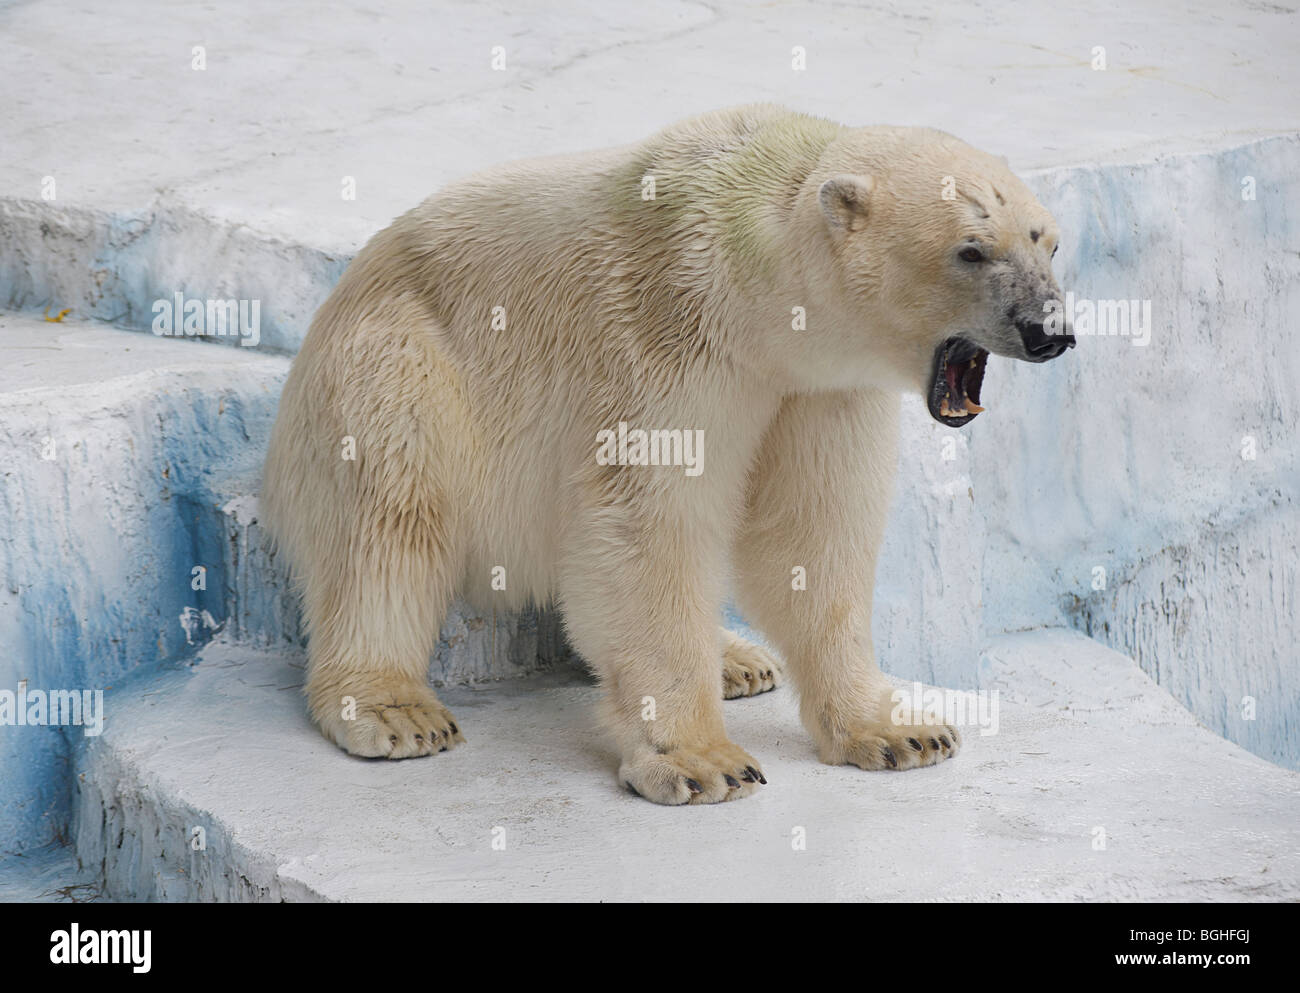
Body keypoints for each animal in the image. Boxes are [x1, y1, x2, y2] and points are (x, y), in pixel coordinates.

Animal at [258, 106, 1071, 805]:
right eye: (972, 250)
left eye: (1047, 240)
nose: (1050, 330)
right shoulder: (666, 334)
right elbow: (649, 525)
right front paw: (704, 761)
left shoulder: (819, 389)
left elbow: (810, 535)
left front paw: (902, 730)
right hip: (397, 361)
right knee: (388, 519)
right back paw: (395, 709)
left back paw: (738, 657)